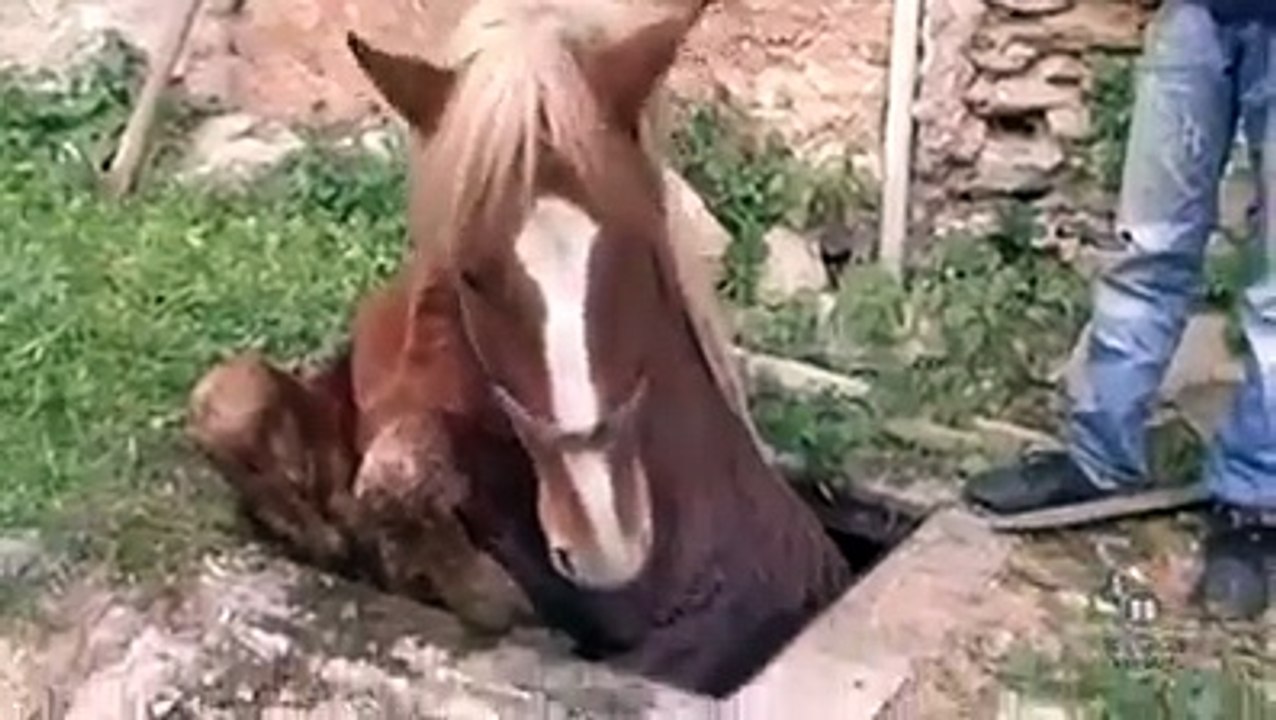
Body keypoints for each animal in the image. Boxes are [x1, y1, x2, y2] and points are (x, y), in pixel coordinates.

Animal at [186, 0, 851, 697]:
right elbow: (229, 398)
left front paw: (484, 592)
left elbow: (406, 470)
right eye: (472, 272)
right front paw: (310, 528)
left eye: (643, 246)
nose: (603, 539)